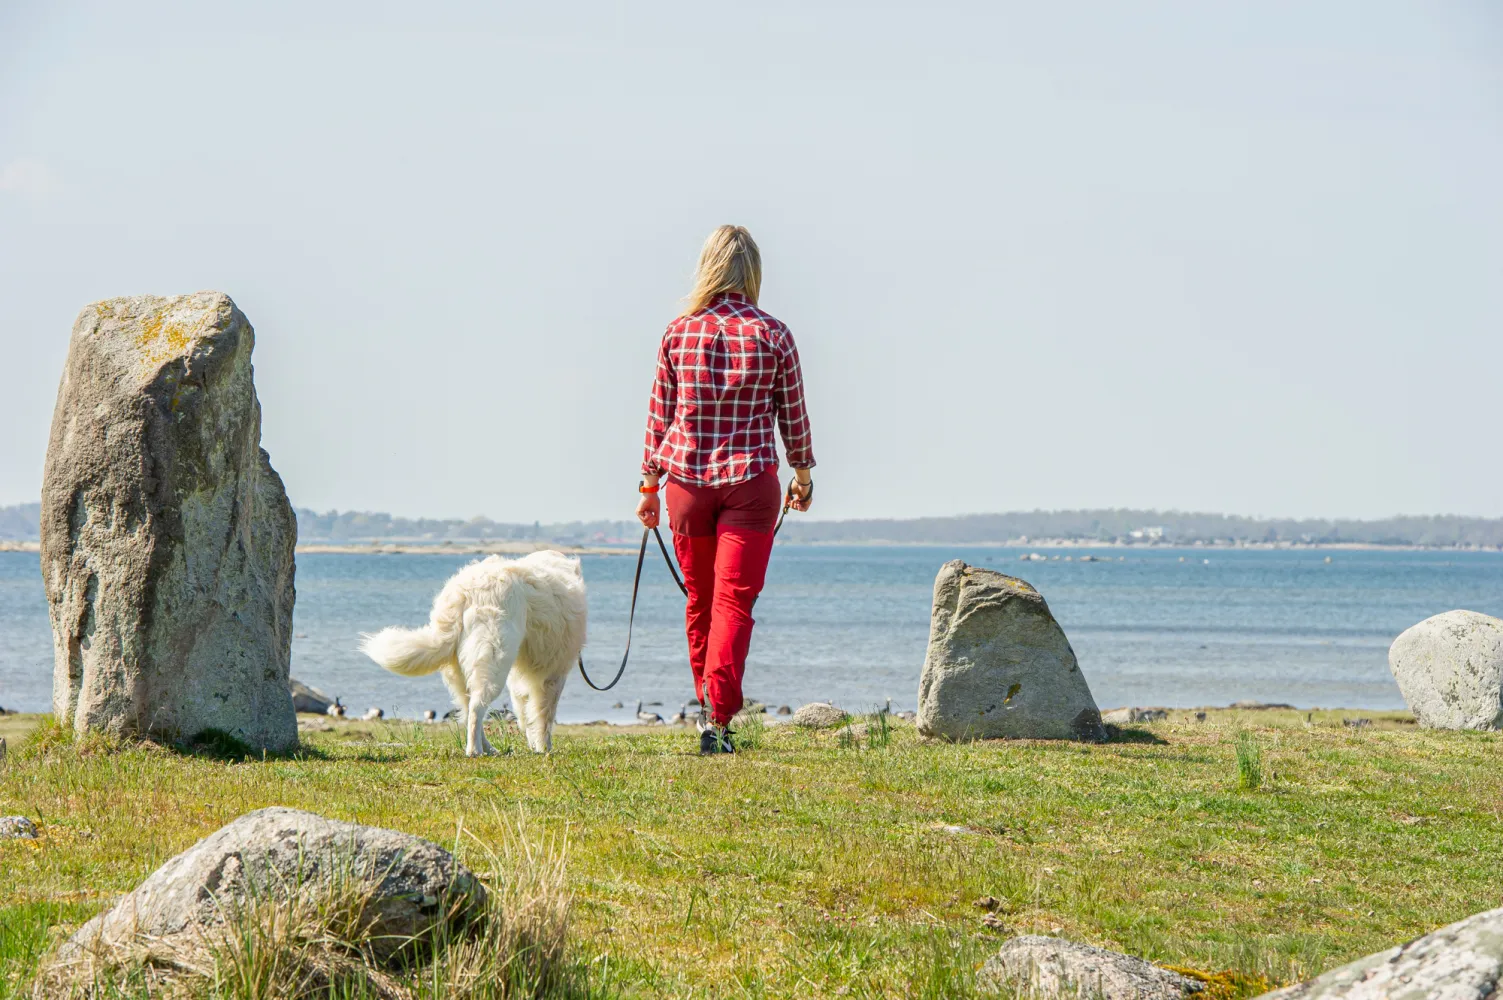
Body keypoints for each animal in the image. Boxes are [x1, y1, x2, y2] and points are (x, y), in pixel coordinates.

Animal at [357, 550, 586, 751]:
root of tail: (462, 592)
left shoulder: (522, 678)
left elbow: (525, 712)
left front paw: (533, 745)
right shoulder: (553, 674)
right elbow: (544, 716)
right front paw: (544, 748)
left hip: (460, 669)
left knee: (469, 708)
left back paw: (488, 748)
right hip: (493, 659)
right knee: (476, 708)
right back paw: (474, 750)